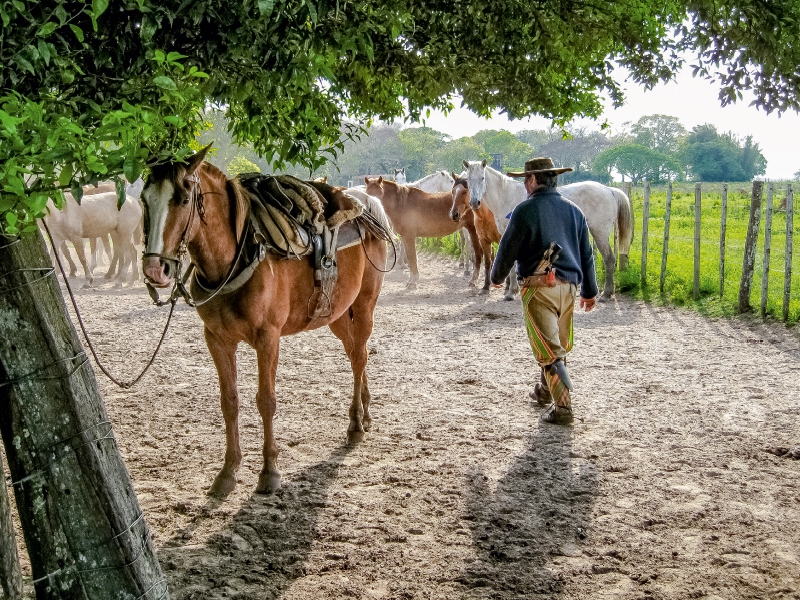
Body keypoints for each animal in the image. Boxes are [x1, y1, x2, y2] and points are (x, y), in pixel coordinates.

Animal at [141, 148, 390, 494]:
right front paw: (228, 471)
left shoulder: (267, 339)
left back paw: (355, 423)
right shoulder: (216, 339)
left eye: (183, 199)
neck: (236, 256)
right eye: (143, 199)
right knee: (357, 353)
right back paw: (364, 414)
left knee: (359, 358)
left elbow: (266, 401)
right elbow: (229, 401)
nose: (155, 269)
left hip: (365, 305)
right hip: (337, 314)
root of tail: (366, 209)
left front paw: (269, 471)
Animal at [462, 159, 632, 300]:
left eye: (482, 178)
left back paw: (606, 294)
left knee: (609, 259)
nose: (474, 202)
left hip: (600, 233)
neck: (507, 196)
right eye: (468, 180)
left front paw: (511, 293)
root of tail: (609, 190)